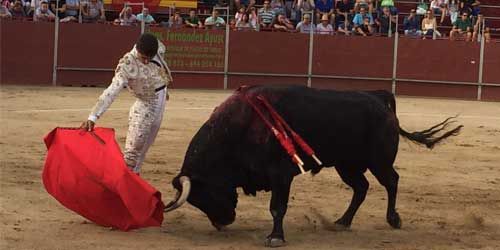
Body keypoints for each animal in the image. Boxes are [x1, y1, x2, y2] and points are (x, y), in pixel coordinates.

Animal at [163, 85, 460, 246]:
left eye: (205, 193)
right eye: (196, 201)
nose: (223, 222)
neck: (239, 126)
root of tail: (380, 99)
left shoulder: (281, 174)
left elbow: (277, 207)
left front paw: (275, 237)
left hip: (378, 160)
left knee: (391, 181)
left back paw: (393, 219)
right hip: (347, 165)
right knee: (361, 188)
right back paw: (342, 221)